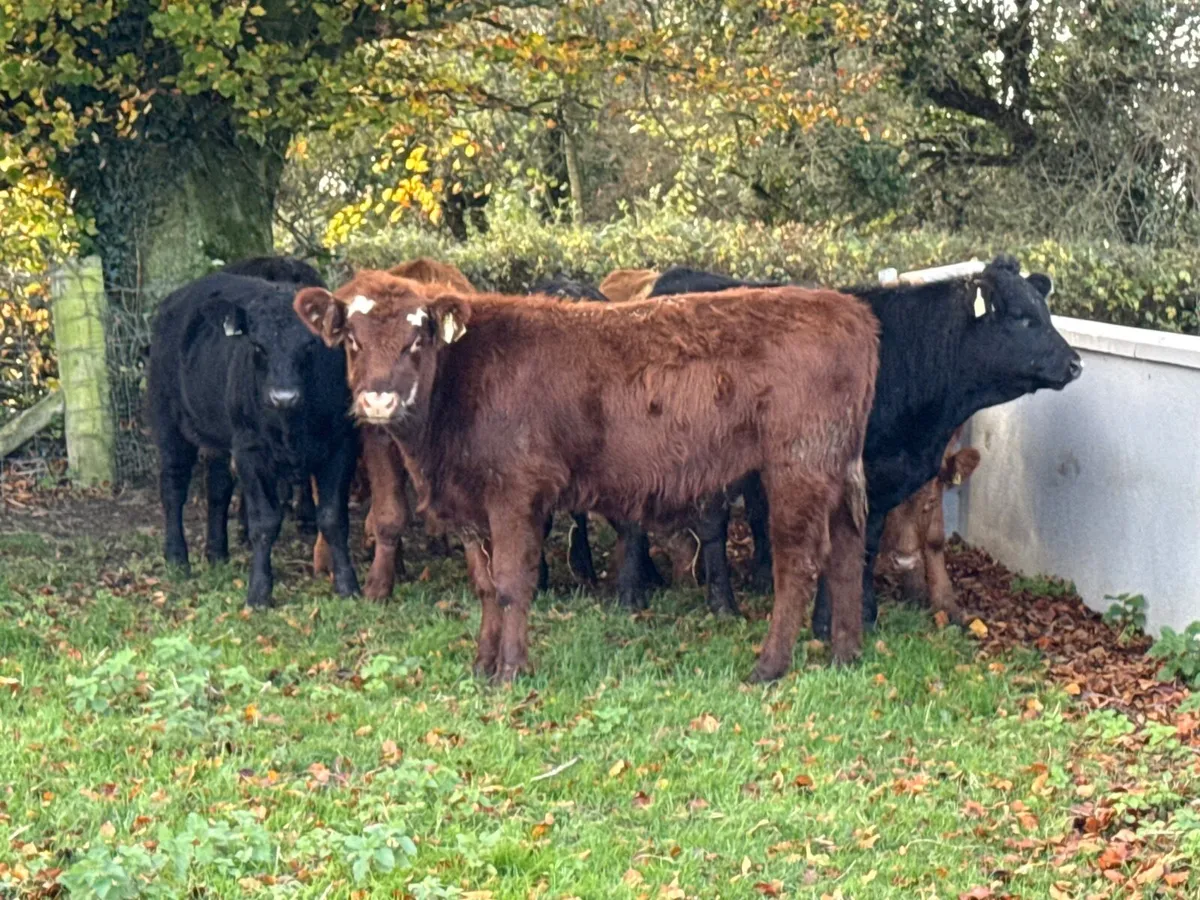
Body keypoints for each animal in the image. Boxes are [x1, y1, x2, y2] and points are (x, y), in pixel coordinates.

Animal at [147, 272, 360, 607]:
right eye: (258, 346)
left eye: (310, 345)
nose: (283, 396)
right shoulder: (250, 450)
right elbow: (264, 521)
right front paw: (259, 592)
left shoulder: (342, 444)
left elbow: (333, 518)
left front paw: (348, 585)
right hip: (166, 419)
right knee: (173, 486)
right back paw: (177, 557)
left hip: (218, 436)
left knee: (218, 487)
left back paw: (216, 552)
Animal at [293, 271, 880, 681]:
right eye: (351, 339)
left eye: (417, 340)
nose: (378, 400)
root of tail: (845, 307)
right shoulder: (470, 506)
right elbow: (484, 585)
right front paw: (482, 664)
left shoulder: (515, 492)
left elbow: (512, 583)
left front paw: (511, 670)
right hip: (834, 468)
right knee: (848, 551)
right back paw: (845, 654)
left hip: (798, 466)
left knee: (799, 562)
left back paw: (769, 666)